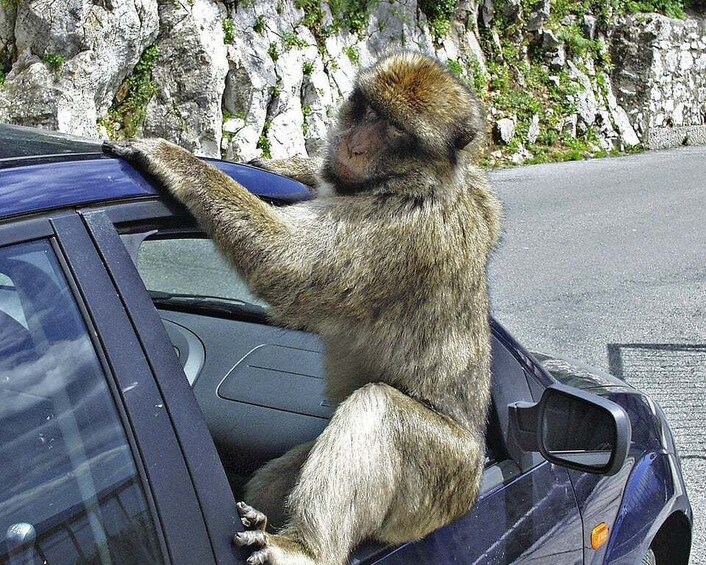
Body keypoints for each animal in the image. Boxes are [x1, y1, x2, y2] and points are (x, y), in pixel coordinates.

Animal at [104, 49, 500, 564]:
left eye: (395, 129)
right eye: (368, 110)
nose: (353, 144)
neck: (420, 181)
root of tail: (479, 469)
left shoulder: (398, 228)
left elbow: (286, 265)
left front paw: (171, 156)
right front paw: (275, 161)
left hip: (440, 482)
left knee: (379, 408)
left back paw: (305, 549)